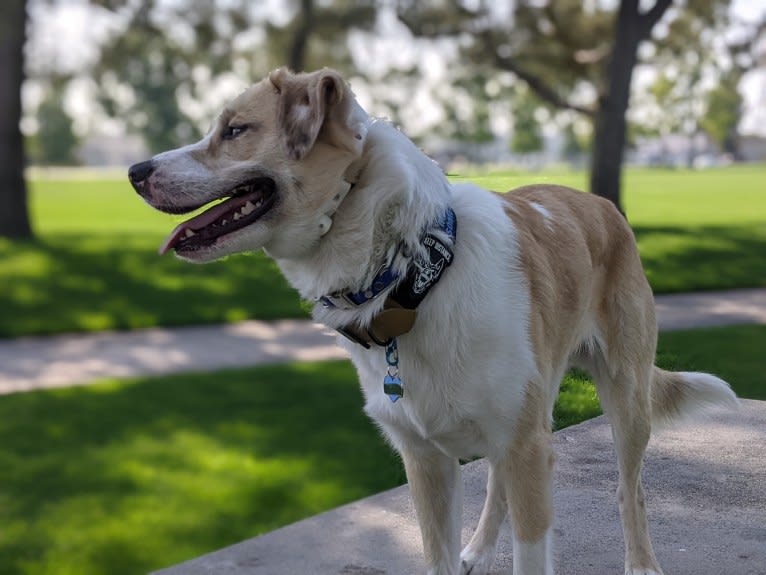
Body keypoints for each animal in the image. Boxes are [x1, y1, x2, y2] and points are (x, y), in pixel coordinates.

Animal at [129, 68, 740, 575]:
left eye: (234, 130)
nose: (135, 171)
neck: (412, 276)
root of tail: (603, 203)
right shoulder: (427, 462)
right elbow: (442, 552)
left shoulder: (526, 449)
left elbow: (535, 546)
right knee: (497, 486)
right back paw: (480, 548)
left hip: (624, 394)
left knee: (629, 490)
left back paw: (641, 563)